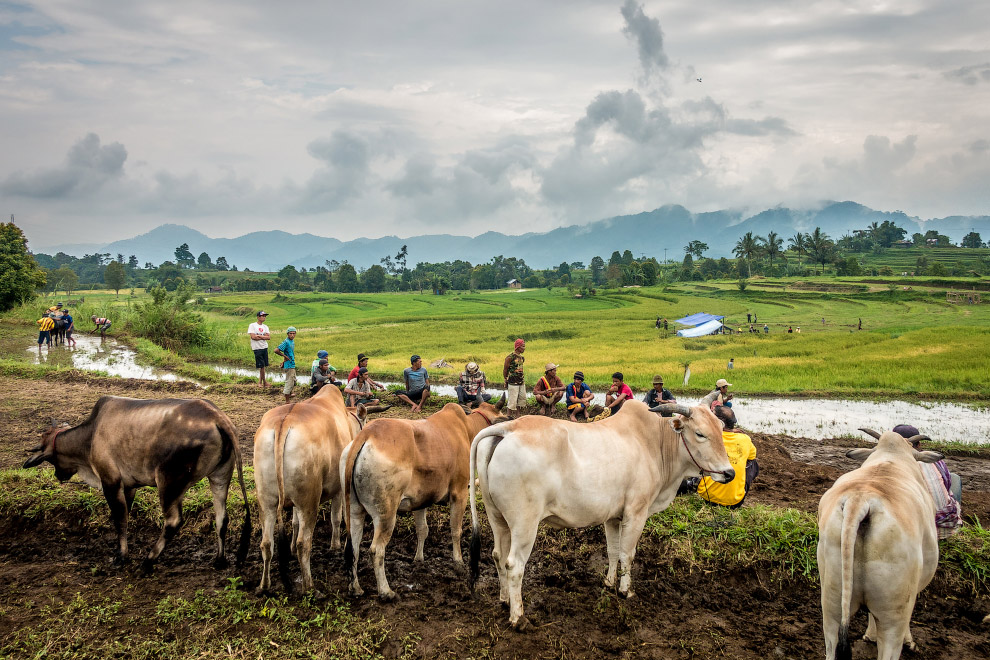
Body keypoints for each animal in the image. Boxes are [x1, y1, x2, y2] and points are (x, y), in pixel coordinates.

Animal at [23, 398, 250, 572]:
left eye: (52, 459)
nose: (59, 475)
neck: (90, 436)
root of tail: (217, 418)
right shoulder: (129, 486)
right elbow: (126, 515)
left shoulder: (111, 481)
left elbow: (120, 519)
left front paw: (121, 556)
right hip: (220, 476)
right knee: (221, 518)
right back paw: (219, 560)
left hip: (169, 483)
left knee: (173, 521)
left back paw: (148, 561)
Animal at [342, 400, 512, 600]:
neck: (466, 428)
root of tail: (366, 434)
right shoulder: (460, 492)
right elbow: (456, 530)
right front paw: (458, 562)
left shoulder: (419, 500)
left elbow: (422, 530)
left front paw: (419, 559)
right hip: (386, 514)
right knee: (376, 550)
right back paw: (386, 591)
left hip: (354, 510)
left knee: (353, 547)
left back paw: (355, 588)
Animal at [468, 394, 732, 632]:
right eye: (699, 433)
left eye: (720, 428)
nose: (729, 473)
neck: (655, 443)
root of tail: (508, 428)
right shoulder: (636, 512)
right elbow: (627, 554)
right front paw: (626, 591)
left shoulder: (613, 517)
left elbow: (613, 551)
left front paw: (608, 583)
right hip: (525, 524)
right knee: (514, 565)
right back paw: (518, 618)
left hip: (497, 518)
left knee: (498, 556)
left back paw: (504, 600)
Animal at [816, 428, 948, 660]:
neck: (890, 458)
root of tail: (859, 500)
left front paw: (869, 635)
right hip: (893, 612)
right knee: (890, 644)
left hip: (832, 602)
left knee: (831, 642)